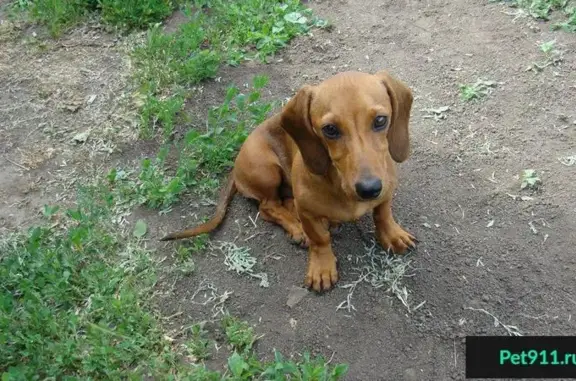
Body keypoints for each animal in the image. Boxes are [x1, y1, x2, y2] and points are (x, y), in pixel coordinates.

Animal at [160, 70, 416, 290]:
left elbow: (383, 214)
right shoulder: (308, 212)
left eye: (380, 120)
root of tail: (236, 165)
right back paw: (297, 228)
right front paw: (322, 266)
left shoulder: (386, 190)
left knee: (284, 201)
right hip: (267, 170)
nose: (369, 189)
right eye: (330, 129)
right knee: (268, 207)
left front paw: (393, 235)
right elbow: (320, 239)